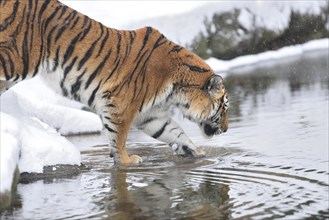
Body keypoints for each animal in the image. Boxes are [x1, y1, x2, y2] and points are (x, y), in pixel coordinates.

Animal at [0, 0, 228, 163]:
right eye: (224, 108)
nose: (226, 130)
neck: (177, 90)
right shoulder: (121, 107)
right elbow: (119, 138)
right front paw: (127, 161)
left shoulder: (149, 115)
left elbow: (174, 132)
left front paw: (196, 151)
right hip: (18, 61)